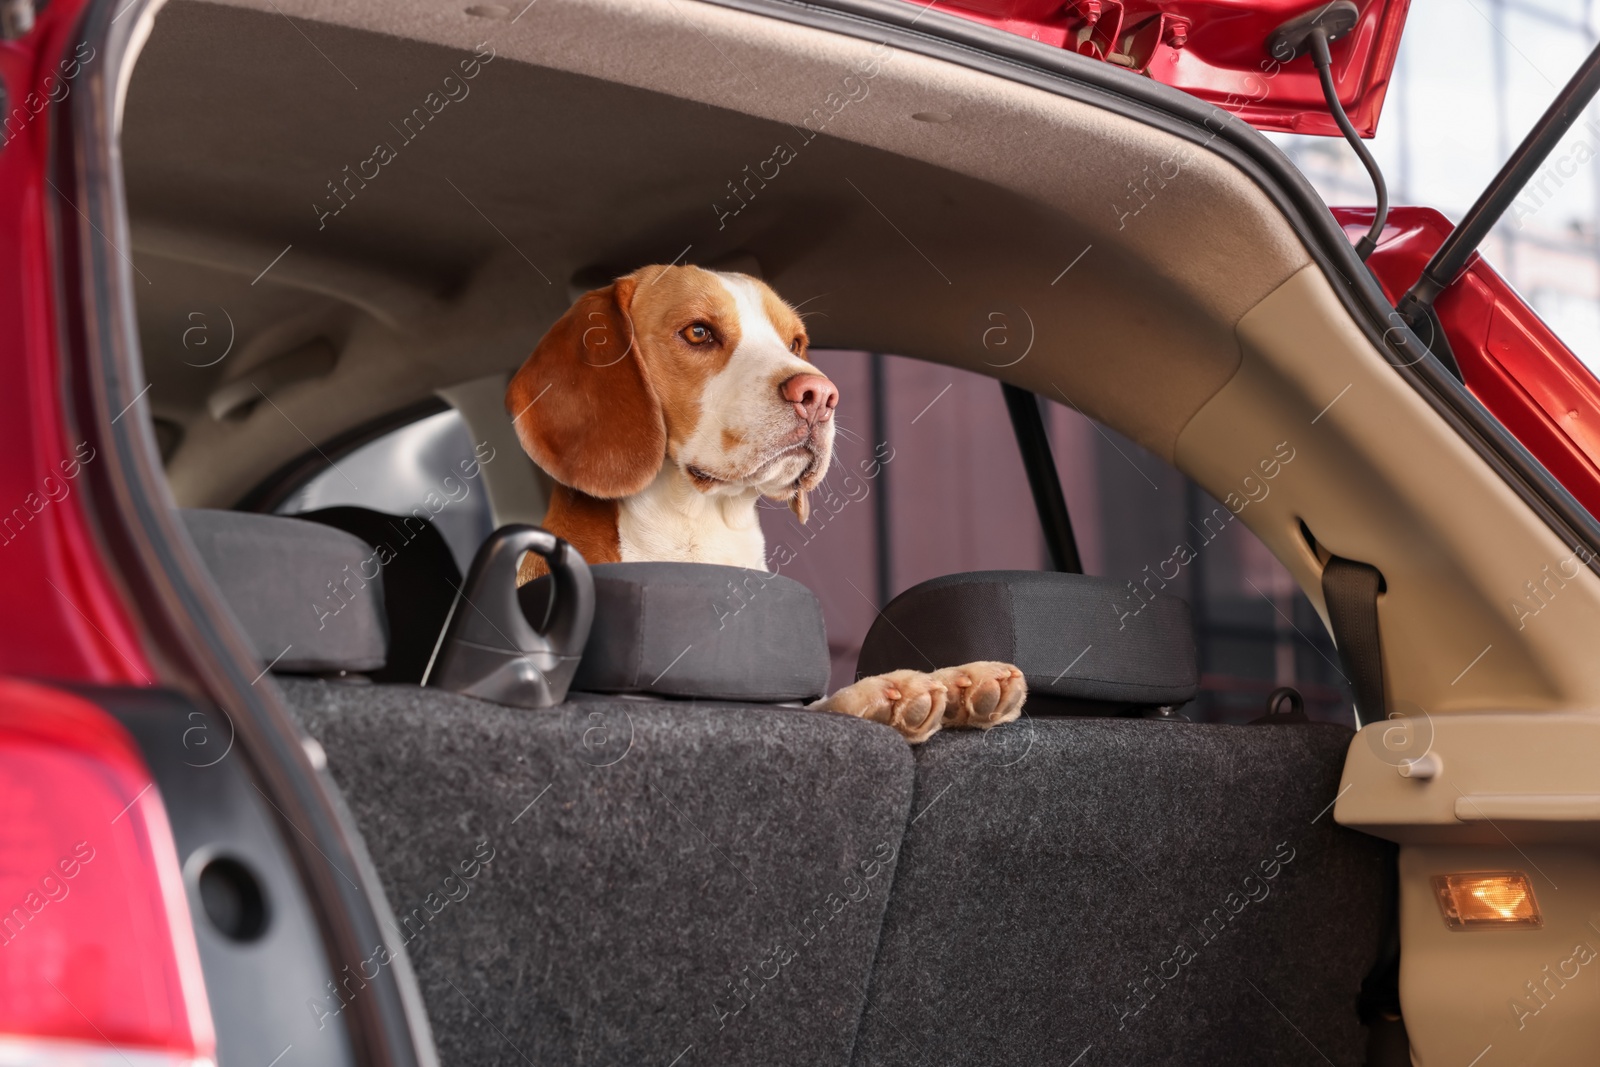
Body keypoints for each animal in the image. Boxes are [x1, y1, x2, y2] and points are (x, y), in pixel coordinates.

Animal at [502, 265, 1024, 742]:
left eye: (794, 343)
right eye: (698, 332)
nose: (820, 395)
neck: (697, 532)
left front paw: (955, 679)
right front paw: (884, 692)